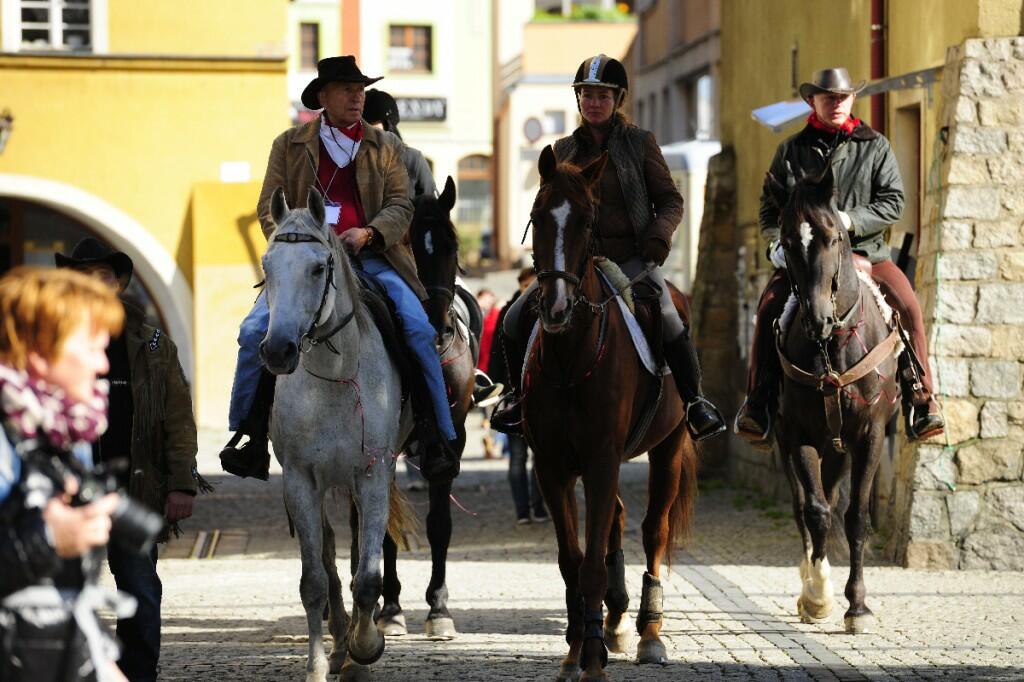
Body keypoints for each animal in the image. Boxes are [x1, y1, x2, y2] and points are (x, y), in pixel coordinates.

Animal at [260, 187, 413, 681]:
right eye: (268, 265)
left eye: (317, 267)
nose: (277, 350)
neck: (333, 377)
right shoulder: (300, 481)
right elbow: (313, 581)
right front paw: (317, 665)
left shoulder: (372, 474)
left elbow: (367, 577)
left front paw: (366, 648)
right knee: (328, 555)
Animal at [351, 175, 477, 641]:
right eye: (408, 247)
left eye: (452, 246)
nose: (436, 326)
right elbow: (384, 527)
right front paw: (390, 608)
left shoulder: (452, 439)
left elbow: (439, 524)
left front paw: (439, 608)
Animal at [522, 146, 699, 680]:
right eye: (539, 215)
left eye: (587, 220)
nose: (556, 308)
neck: (570, 358)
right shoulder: (552, 468)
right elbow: (572, 560)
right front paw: (577, 649)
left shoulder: (600, 461)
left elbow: (593, 565)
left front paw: (594, 658)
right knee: (616, 522)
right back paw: (616, 620)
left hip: (668, 447)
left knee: (653, 530)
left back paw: (648, 632)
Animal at [766, 165, 902, 634]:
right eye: (788, 242)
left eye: (833, 237)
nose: (817, 318)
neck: (833, 348)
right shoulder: (799, 436)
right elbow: (816, 511)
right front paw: (818, 595)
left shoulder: (870, 436)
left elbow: (856, 517)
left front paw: (857, 606)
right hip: (789, 443)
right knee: (804, 506)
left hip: (841, 449)